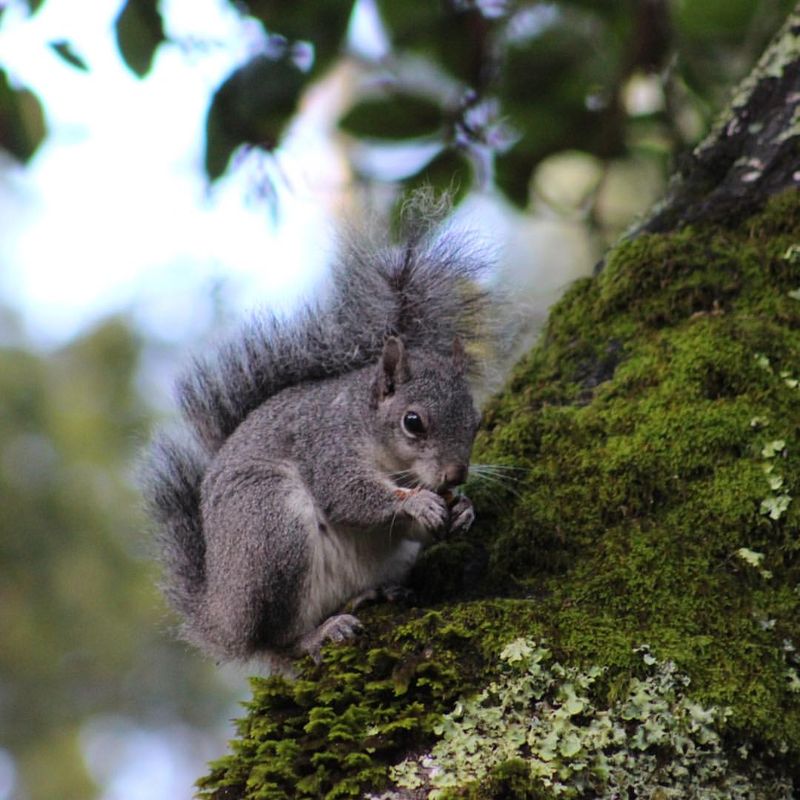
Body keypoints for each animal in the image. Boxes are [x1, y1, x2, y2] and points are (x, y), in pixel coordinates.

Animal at [143, 194, 495, 663]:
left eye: (476, 421)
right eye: (413, 422)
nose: (456, 475)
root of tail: (223, 616)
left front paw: (464, 509)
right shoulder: (326, 445)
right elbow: (348, 494)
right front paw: (417, 502)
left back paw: (374, 593)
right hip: (270, 525)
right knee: (277, 640)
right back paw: (317, 634)